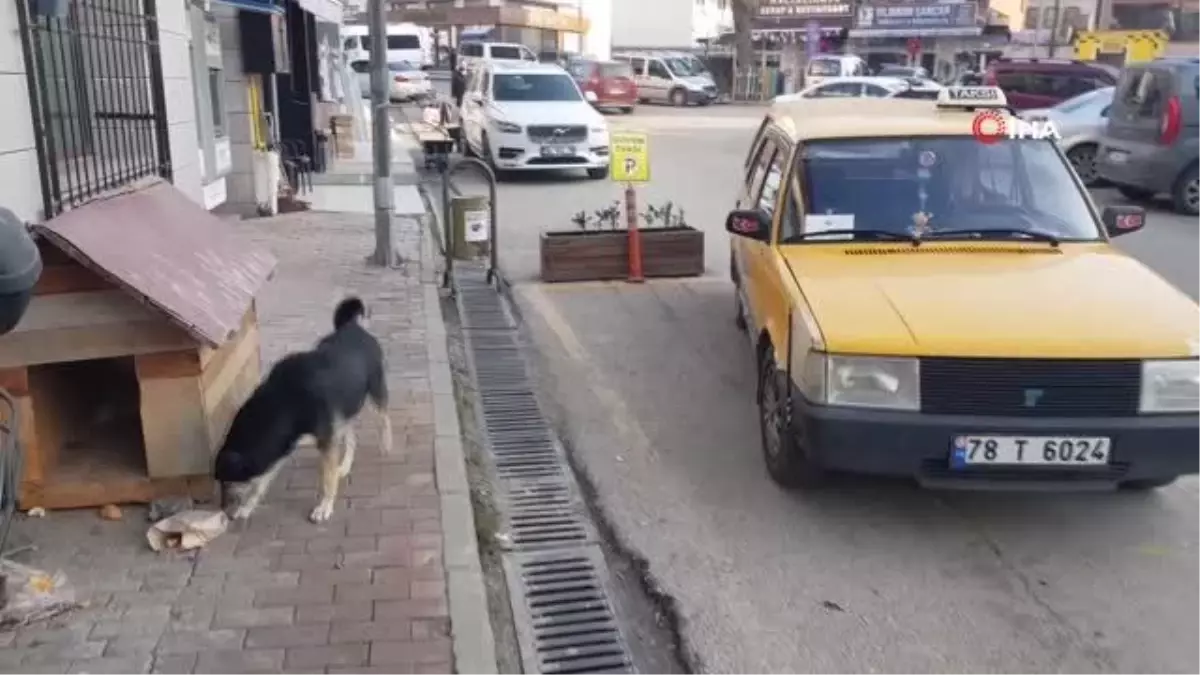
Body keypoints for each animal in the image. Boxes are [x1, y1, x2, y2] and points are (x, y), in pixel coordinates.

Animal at [211, 296, 388, 523]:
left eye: (227, 482)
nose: (224, 512)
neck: (284, 401)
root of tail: (352, 326)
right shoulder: (283, 446)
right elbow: (260, 483)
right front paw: (247, 507)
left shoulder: (325, 441)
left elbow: (327, 479)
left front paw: (324, 507)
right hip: (345, 410)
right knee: (351, 437)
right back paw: (345, 465)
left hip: (375, 392)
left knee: (384, 417)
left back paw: (386, 443)